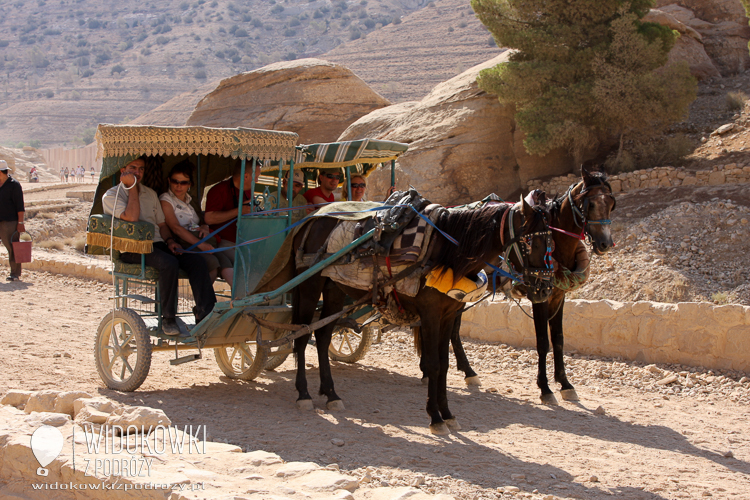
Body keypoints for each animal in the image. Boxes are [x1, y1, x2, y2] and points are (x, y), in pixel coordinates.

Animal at [290, 198, 556, 434]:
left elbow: (444, 364)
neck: (449, 253)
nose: (545, 289)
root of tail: (311, 220)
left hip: (334, 288)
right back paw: (303, 394)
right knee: (301, 336)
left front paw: (448, 414)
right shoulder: (430, 315)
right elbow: (433, 364)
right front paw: (435, 417)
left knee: (322, 336)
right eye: (531, 242)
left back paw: (330, 393)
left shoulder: (448, 315)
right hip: (309, 285)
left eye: (551, 242)